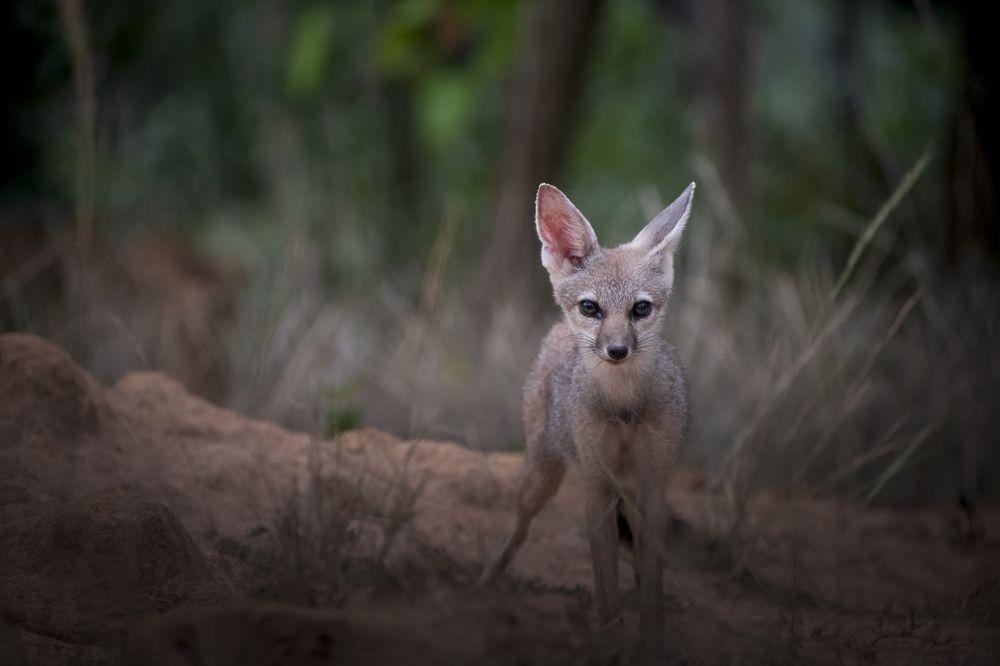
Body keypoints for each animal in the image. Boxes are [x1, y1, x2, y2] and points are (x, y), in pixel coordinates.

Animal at [482, 181, 695, 654]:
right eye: (591, 308)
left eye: (640, 309)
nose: (617, 350)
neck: (624, 409)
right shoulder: (598, 487)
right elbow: (605, 583)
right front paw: (612, 637)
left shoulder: (652, 486)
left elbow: (650, 584)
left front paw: (651, 642)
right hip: (541, 478)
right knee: (517, 529)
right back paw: (483, 584)